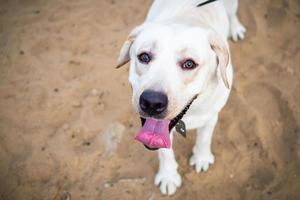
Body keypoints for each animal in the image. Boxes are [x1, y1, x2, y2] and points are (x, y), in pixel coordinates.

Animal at [116, 0, 245, 195]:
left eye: (189, 64)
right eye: (144, 57)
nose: (152, 102)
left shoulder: (211, 115)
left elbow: (204, 139)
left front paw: (201, 158)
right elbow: (164, 152)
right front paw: (168, 176)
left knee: (232, 14)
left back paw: (235, 28)